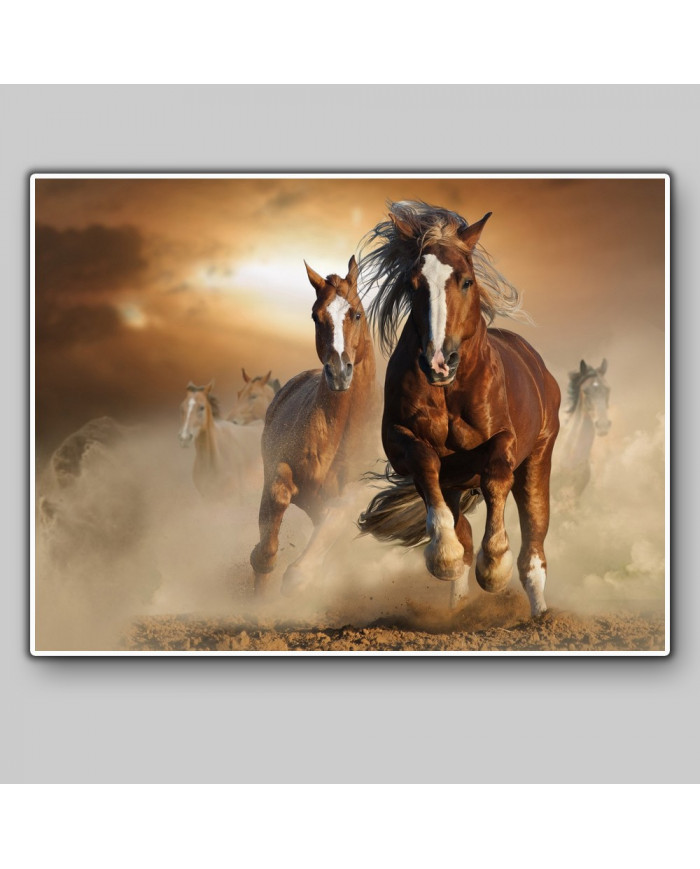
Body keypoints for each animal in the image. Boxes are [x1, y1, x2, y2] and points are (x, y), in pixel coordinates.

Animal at [250, 256, 377, 596]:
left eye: (356, 313)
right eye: (316, 316)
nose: (339, 372)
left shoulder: (350, 498)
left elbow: (302, 569)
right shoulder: (280, 471)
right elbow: (278, 497)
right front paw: (262, 567)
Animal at [357, 201, 561, 617]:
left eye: (465, 281)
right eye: (412, 284)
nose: (439, 362)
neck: (450, 391)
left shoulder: (505, 441)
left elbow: (496, 475)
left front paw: (494, 567)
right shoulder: (401, 442)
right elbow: (425, 465)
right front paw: (444, 556)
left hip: (538, 458)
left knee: (534, 544)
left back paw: (539, 615)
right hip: (456, 483)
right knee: (462, 527)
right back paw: (459, 604)